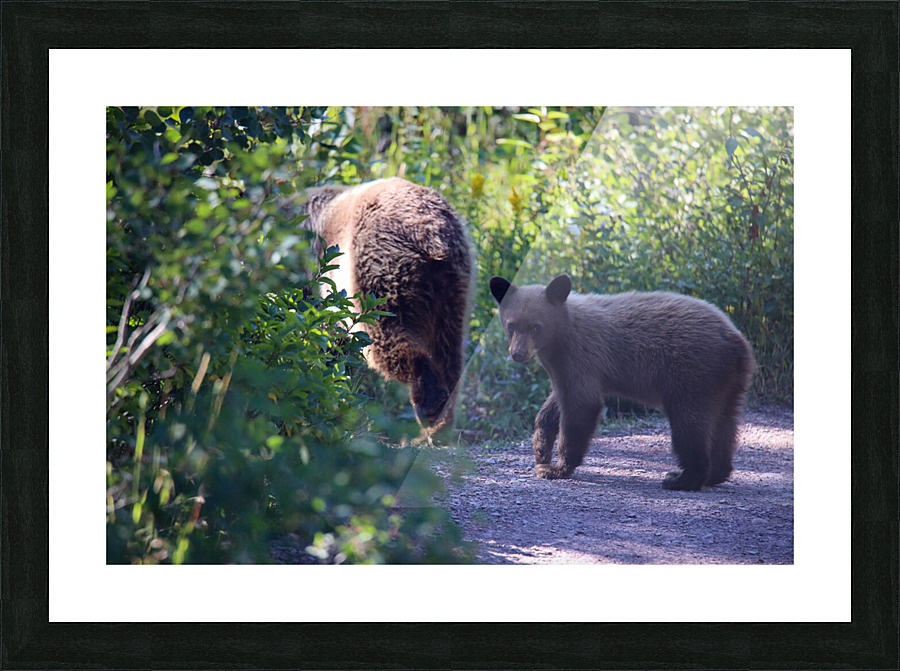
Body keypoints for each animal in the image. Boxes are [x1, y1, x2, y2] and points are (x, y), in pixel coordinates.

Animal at [300, 178, 473, 434]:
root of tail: (431, 235)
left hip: (378, 275)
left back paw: (429, 404)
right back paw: (442, 420)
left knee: (387, 339)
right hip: (452, 288)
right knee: (448, 349)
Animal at [489, 274, 755, 490]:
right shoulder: (564, 366)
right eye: (511, 325)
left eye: (536, 326)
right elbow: (557, 401)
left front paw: (556, 468)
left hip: (694, 374)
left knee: (689, 424)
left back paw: (681, 479)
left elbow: (581, 404)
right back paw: (715, 473)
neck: (562, 334)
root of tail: (738, 343)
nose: (518, 354)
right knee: (725, 425)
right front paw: (540, 449)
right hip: (728, 383)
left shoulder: (581, 354)